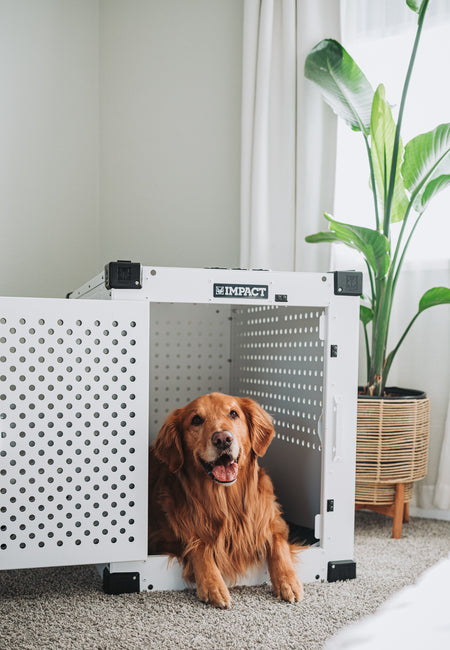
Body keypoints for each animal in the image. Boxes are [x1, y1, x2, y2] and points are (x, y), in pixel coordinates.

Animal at [149, 390, 304, 608]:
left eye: (233, 414)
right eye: (196, 420)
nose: (222, 439)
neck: (227, 501)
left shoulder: (274, 521)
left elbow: (278, 543)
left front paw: (288, 581)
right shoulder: (163, 537)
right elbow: (199, 545)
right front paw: (213, 585)